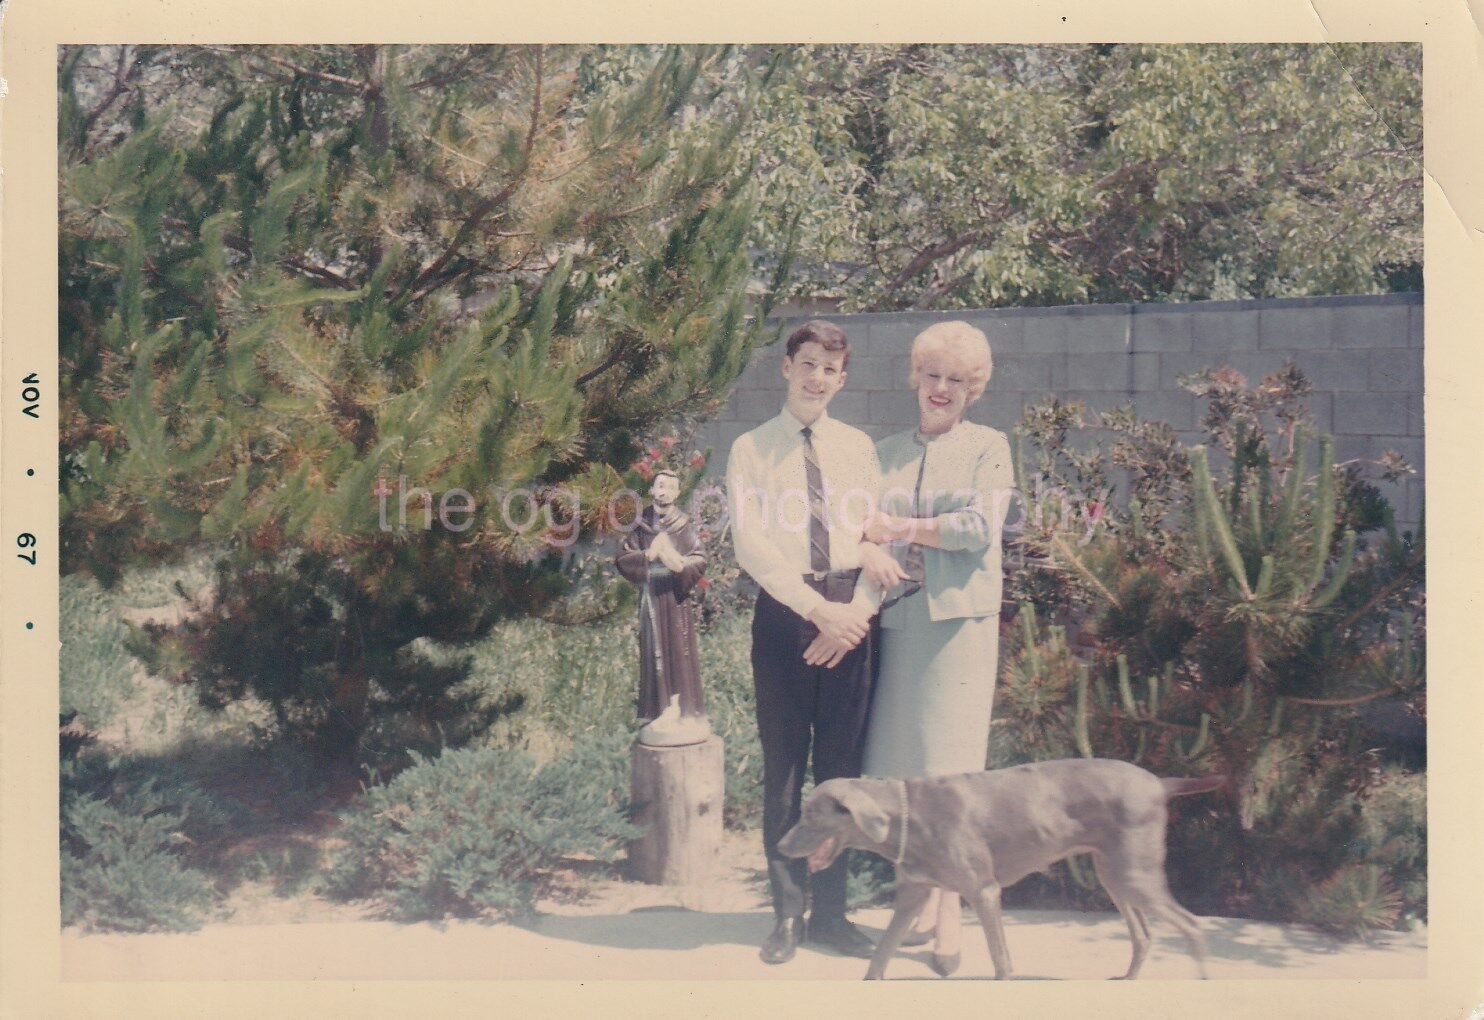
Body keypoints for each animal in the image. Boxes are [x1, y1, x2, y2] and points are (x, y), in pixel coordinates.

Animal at [771, 757, 1222, 979]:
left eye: (810, 817)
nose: (779, 847)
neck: (907, 815)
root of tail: (1161, 783)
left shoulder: (984, 892)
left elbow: (1001, 961)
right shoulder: (913, 896)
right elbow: (879, 958)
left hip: (1133, 874)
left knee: (1193, 926)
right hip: (1114, 873)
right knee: (1145, 935)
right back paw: (1128, 982)